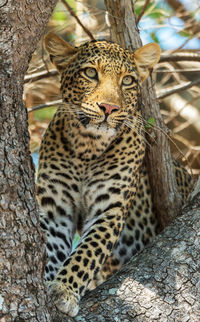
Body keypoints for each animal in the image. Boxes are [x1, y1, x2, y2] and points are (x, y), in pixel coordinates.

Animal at [36, 33, 192, 316]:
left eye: (127, 80)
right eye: (90, 73)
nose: (108, 108)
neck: (87, 148)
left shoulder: (110, 210)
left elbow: (87, 252)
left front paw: (64, 290)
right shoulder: (56, 209)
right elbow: (50, 248)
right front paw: (48, 281)